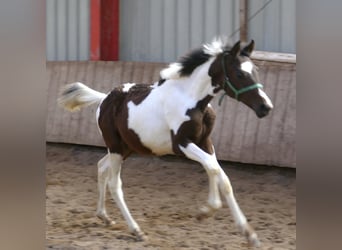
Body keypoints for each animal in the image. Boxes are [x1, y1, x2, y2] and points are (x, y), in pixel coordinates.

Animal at [58, 38, 272, 247]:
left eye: (255, 71)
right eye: (240, 73)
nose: (266, 107)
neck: (192, 100)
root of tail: (104, 99)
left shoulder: (205, 142)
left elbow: (220, 175)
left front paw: (250, 235)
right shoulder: (181, 144)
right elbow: (212, 168)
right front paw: (206, 211)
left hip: (126, 148)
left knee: (101, 167)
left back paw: (104, 216)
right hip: (116, 148)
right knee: (114, 183)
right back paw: (136, 231)